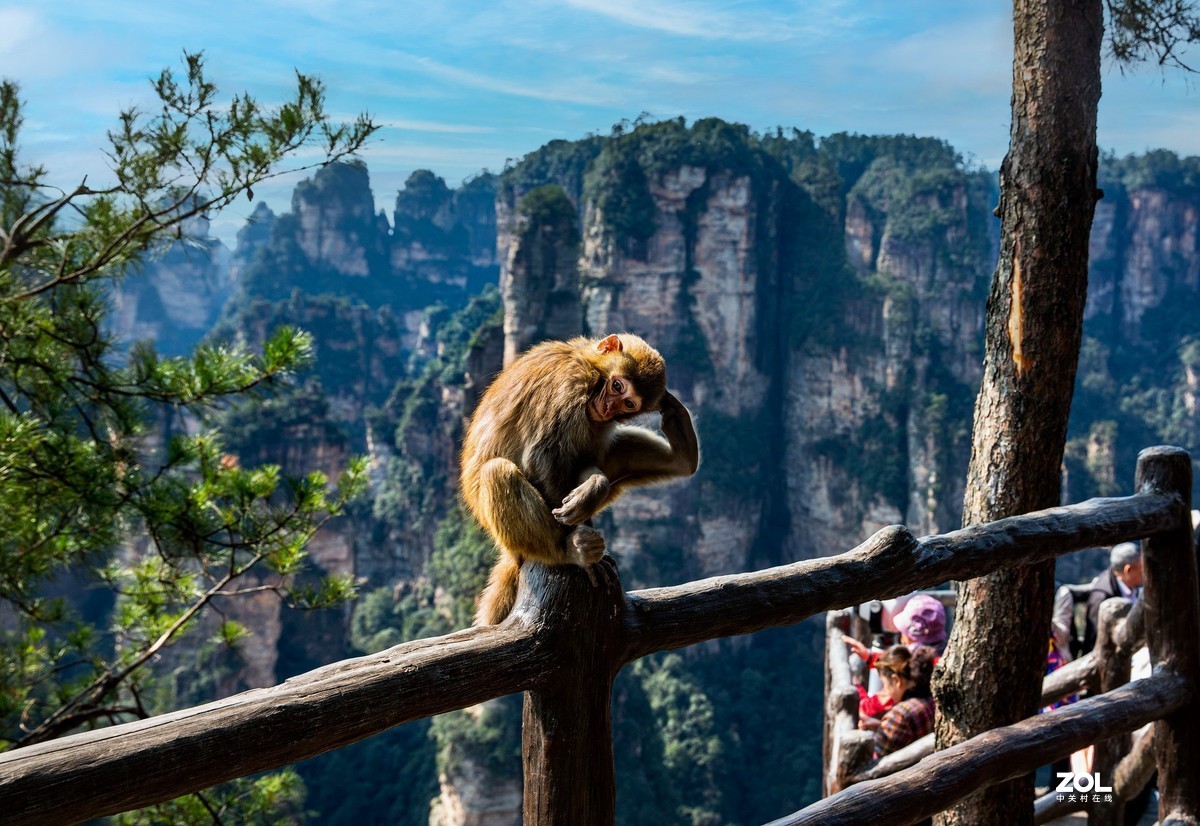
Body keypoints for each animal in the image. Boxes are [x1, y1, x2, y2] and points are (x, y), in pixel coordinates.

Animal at [460, 331, 700, 624]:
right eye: (617, 386)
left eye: (628, 404)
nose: (608, 408)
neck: (589, 365)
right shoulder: (570, 383)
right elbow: (542, 458)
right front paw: (582, 557)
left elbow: (586, 462)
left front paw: (593, 489)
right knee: (497, 471)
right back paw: (568, 551)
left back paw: (682, 455)